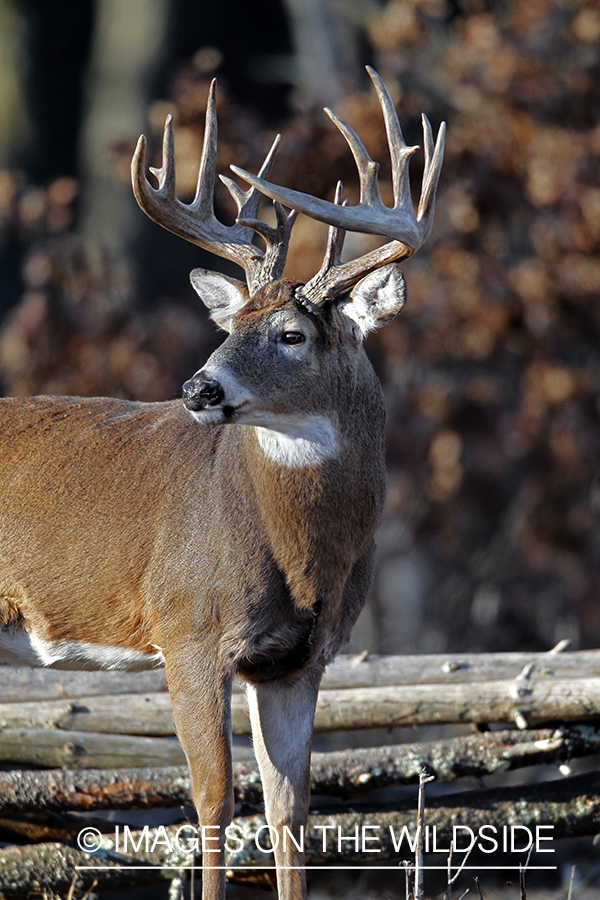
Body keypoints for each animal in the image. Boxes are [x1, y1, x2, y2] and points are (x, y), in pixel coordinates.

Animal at [0, 67, 440, 896]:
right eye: (228, 326)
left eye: (291, 334)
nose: (199, 388)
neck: (301, 555)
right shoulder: (190, 630)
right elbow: (212, 799)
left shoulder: (299, 659)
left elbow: (289, 810)